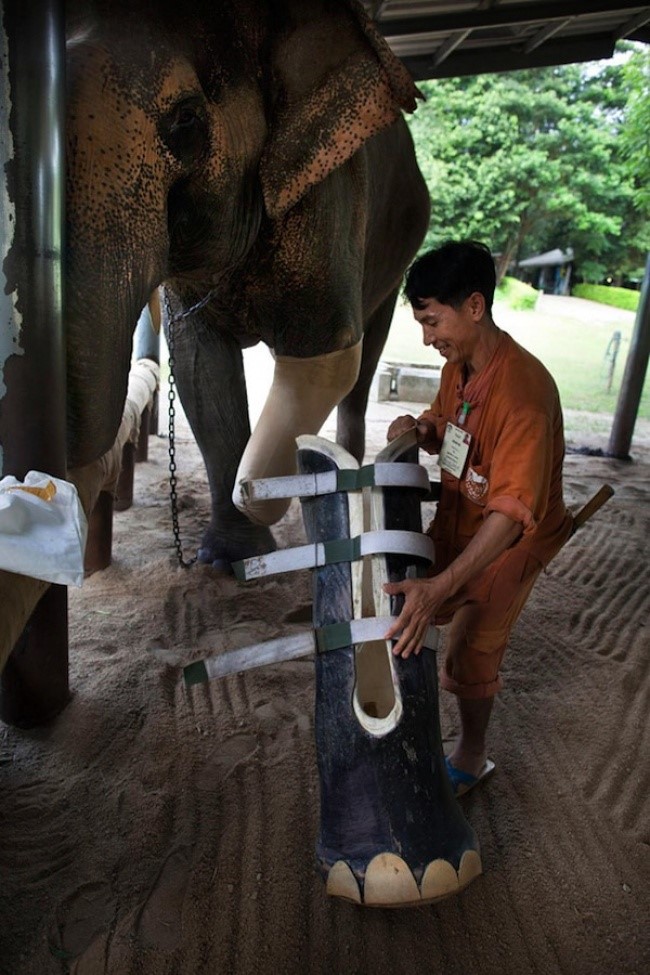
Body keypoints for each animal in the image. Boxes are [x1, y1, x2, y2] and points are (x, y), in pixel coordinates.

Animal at [66, 0, 428, 568]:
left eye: (186, 119)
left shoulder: (331, 189)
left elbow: (324, 355)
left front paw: (268, 494)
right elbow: (201, 366)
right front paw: (226, 559)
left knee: (364, 362)